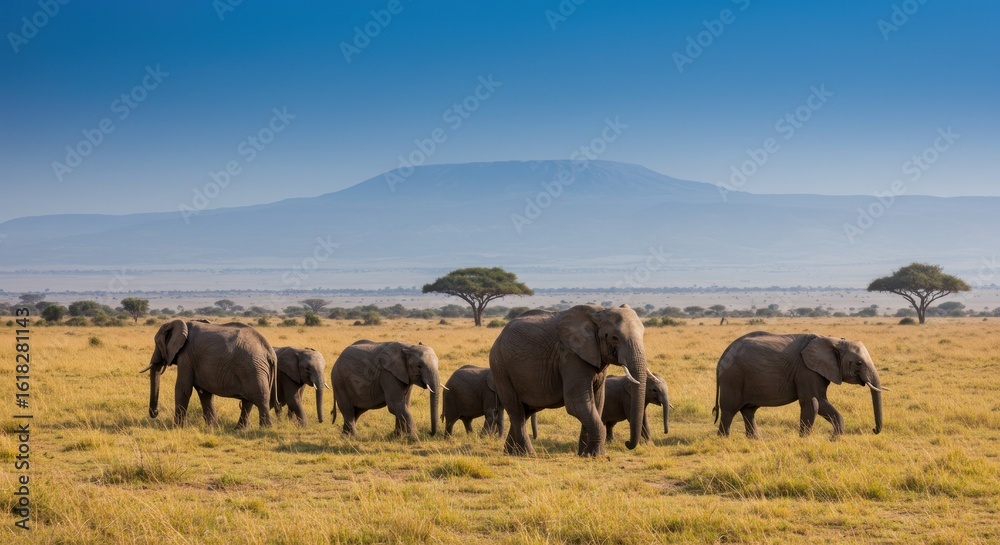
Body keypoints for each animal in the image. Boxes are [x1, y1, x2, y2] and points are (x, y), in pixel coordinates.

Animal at [140, 320, 278, 428]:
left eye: (157, 343)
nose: (155, 412)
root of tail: (270, 351)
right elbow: (204, 393)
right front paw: (212, 427)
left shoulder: (186, 355)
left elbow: (183, 388)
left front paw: (176, 427)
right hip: (252, 369)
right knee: (248, 401)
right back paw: (239, 429)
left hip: (252, 368)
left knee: (260, 397)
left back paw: (265, 428)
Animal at [489, 304, 649, 456]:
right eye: (615, 337)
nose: (627, 443)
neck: (598, 314)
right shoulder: (571, 355)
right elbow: (577, 402)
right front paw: (598, 455)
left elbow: (597, 402)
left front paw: (586, 454)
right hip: (500, 368)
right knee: (516, 411)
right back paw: (528, 454)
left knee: (526, 410)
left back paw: (510, 453)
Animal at [713, 332, 885, 438]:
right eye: (858, 363)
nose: (874, 430)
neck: (833, 340)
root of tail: (723, 355)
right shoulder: (805, 370)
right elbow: (812, 402)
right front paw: (807, 439)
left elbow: (821, 403)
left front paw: (832, 439)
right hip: (732, 378)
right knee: (729, 410)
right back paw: (724, 439)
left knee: (749, 410)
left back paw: (755, 440)